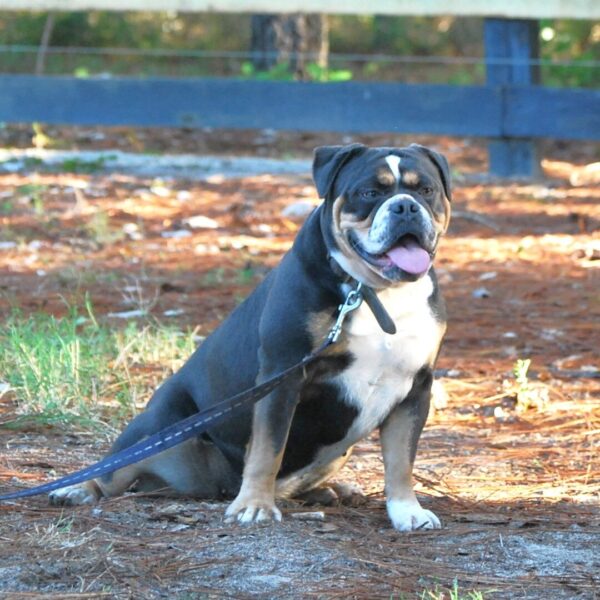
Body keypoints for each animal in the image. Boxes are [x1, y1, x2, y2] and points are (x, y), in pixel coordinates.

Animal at [50, 143, 450, 532]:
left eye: (426, 190)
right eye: (370, 192)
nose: (404, 206)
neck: (373, 291)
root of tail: (218, 484)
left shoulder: (414, 388)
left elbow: (401, 460)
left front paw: (406, 511)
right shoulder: (283, 374)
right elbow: (267, 450)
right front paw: (254, 505)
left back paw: (329, 490)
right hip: (157, 426)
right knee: (112, 471)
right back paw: (76, 490)